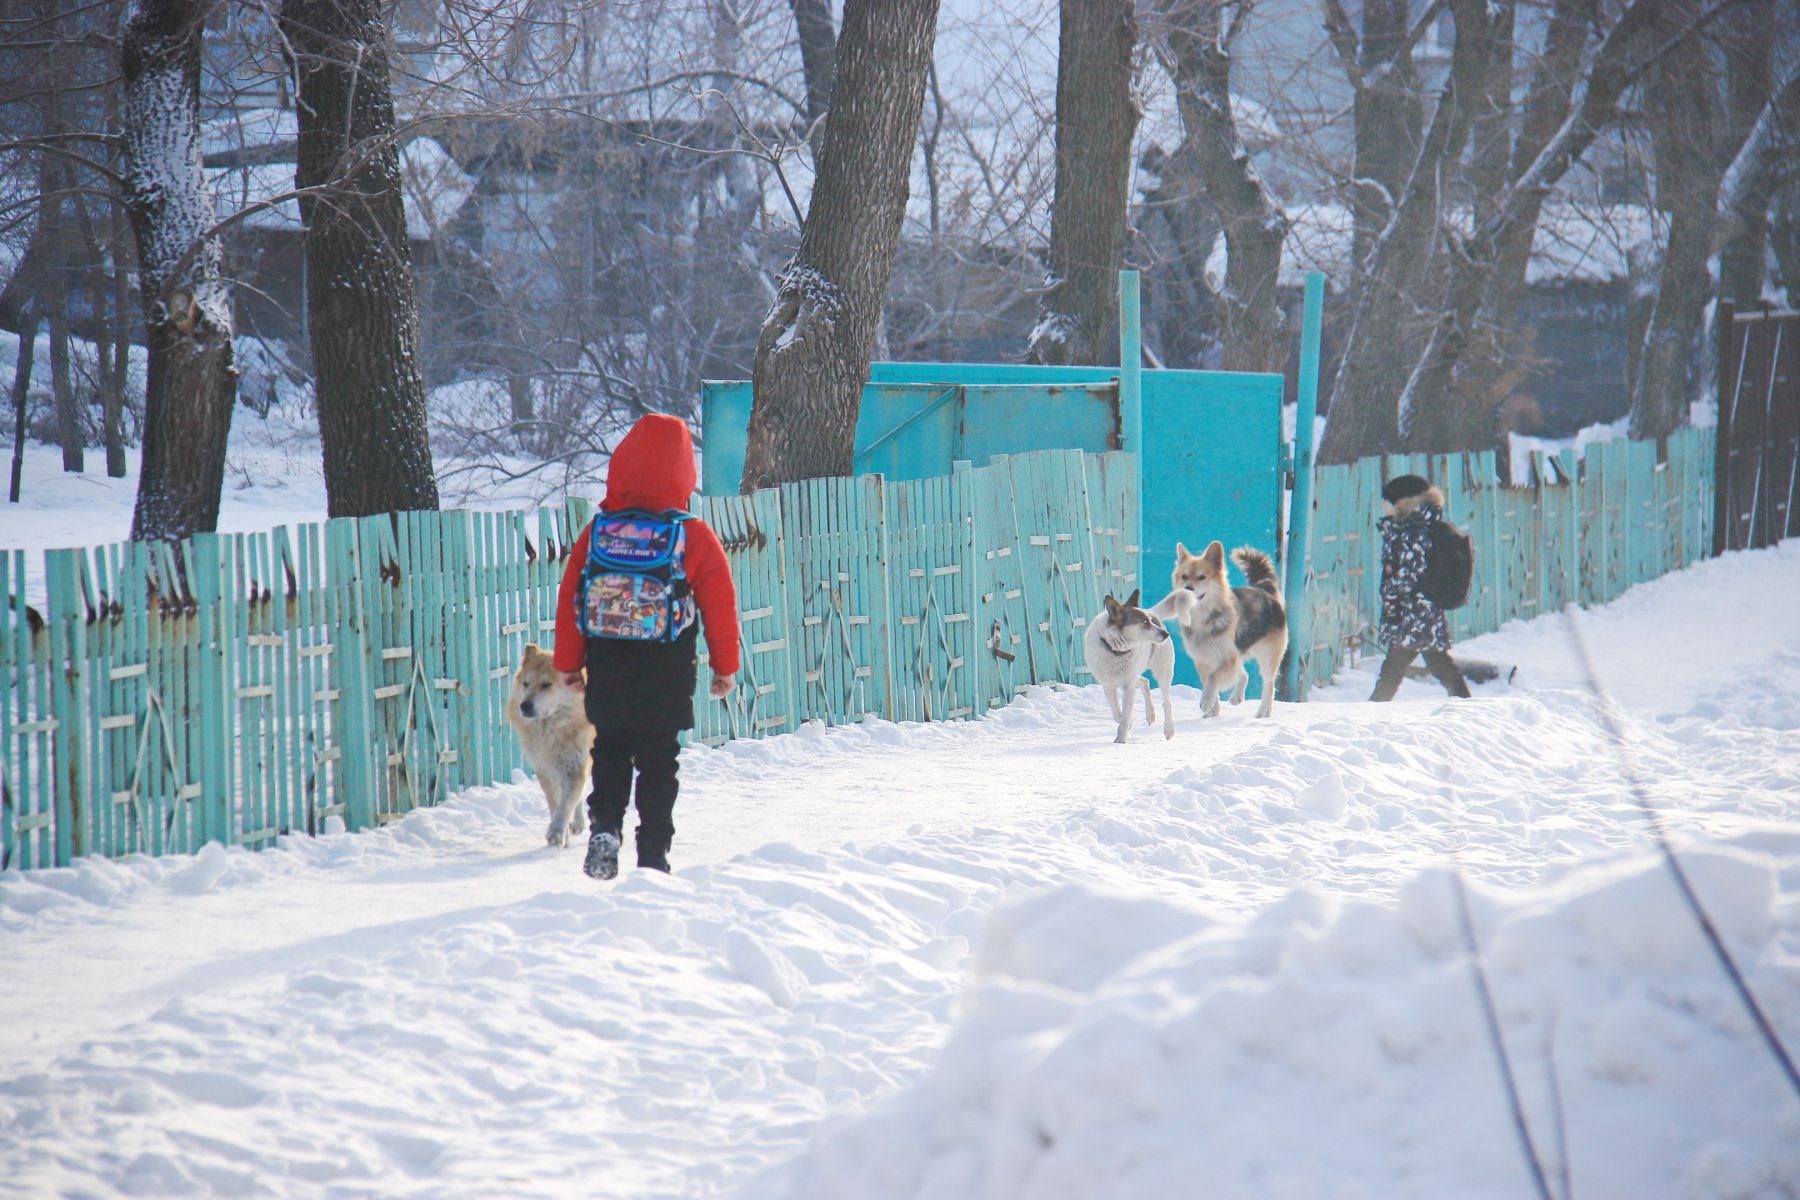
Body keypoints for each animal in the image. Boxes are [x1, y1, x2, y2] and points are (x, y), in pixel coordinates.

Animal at [504, 644, 594, 849]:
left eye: (546, 685)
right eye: (526, 684)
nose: (524, 706)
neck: (551, 730)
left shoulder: (575, 767)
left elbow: (565, 805)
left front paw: (557, 832)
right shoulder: (545, 770)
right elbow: (556, 804)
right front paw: (563, 836)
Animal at [1080, 590, 1180, 744]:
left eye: (1150, 621)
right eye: (1145, 622)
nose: (1165, 633)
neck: (1115, 651)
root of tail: (1152, 612)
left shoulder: (1128, 687)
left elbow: (1125, 715)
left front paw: (1121, 739)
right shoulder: (1108, 685)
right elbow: (1117, 714)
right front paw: (1128, 725)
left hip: (1163, 672)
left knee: (1166, 702)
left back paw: (1169, 730)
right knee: (1144, 681)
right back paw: (1150, 714)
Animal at [1159, 539, 1288, 719]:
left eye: (1202, 577)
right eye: (1184, 576)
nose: (1187, 588)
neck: (1204, 618)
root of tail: (1265, 592)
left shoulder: (1228, 658)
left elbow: (1213, 678)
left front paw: (1206, 702)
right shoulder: (1203, 660)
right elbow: (1208, 681)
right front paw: (1213, 711)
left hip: (1267, 655)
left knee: (1268, 684)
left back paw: (1264, 711)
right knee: (1244, 674)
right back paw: (1237, 697)